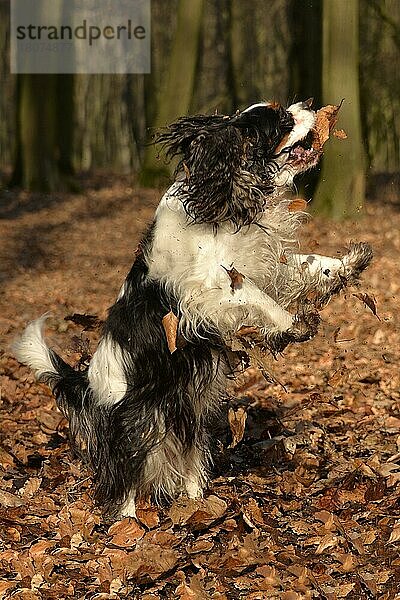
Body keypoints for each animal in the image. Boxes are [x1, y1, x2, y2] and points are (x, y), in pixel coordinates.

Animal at [14, 99, 374, 516]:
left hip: (191, 409)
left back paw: (198, 502)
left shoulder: (264, 261)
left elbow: (306, 263)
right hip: (138, 422)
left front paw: (348, 265)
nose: (308, 104)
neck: (225, 200)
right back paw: (128, 522)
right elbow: (255, 297)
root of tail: (88, 384)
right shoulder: (205, 295)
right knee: (124, 480)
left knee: (189, 460)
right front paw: (292, 324)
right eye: (282, 119)